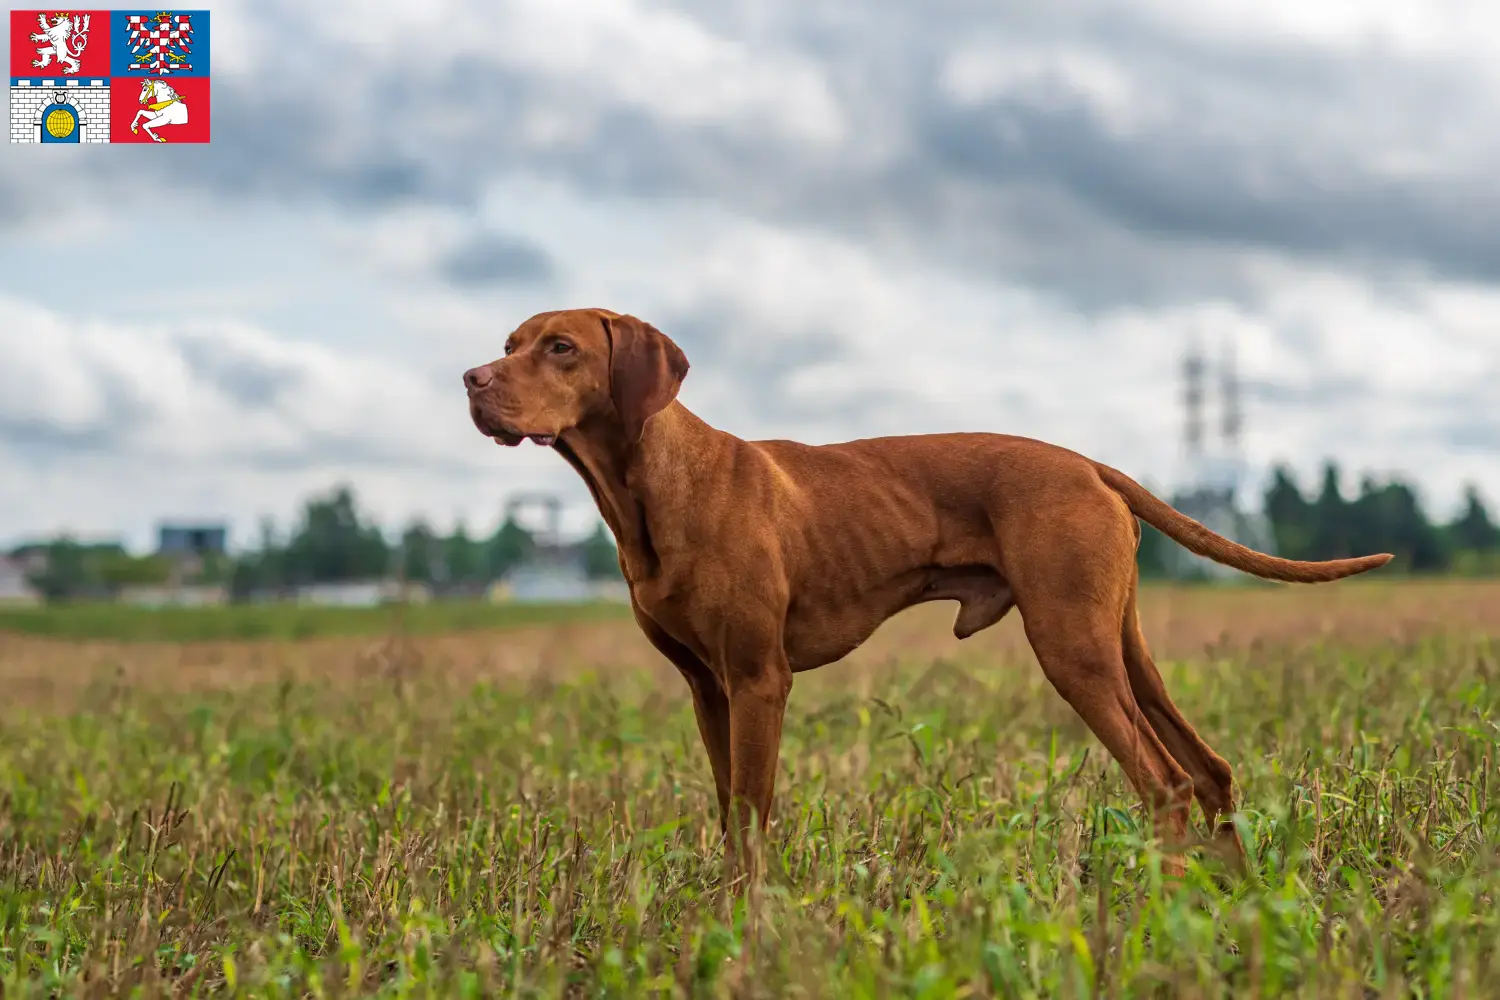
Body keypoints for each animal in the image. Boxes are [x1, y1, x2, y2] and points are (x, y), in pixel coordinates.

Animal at [459, 307, 1392, 875]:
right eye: (509, 342)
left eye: (561, 347)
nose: (471, 379)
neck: (656, 488)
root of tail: (1090, 463)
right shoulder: (707, 689)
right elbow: (729, 814)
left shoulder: (760, 680)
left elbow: (754, 815)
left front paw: (748, 930)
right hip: (1121, 645)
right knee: (1210, 770)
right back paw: (1232, 901)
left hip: (1072, 650)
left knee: (1163, 782)